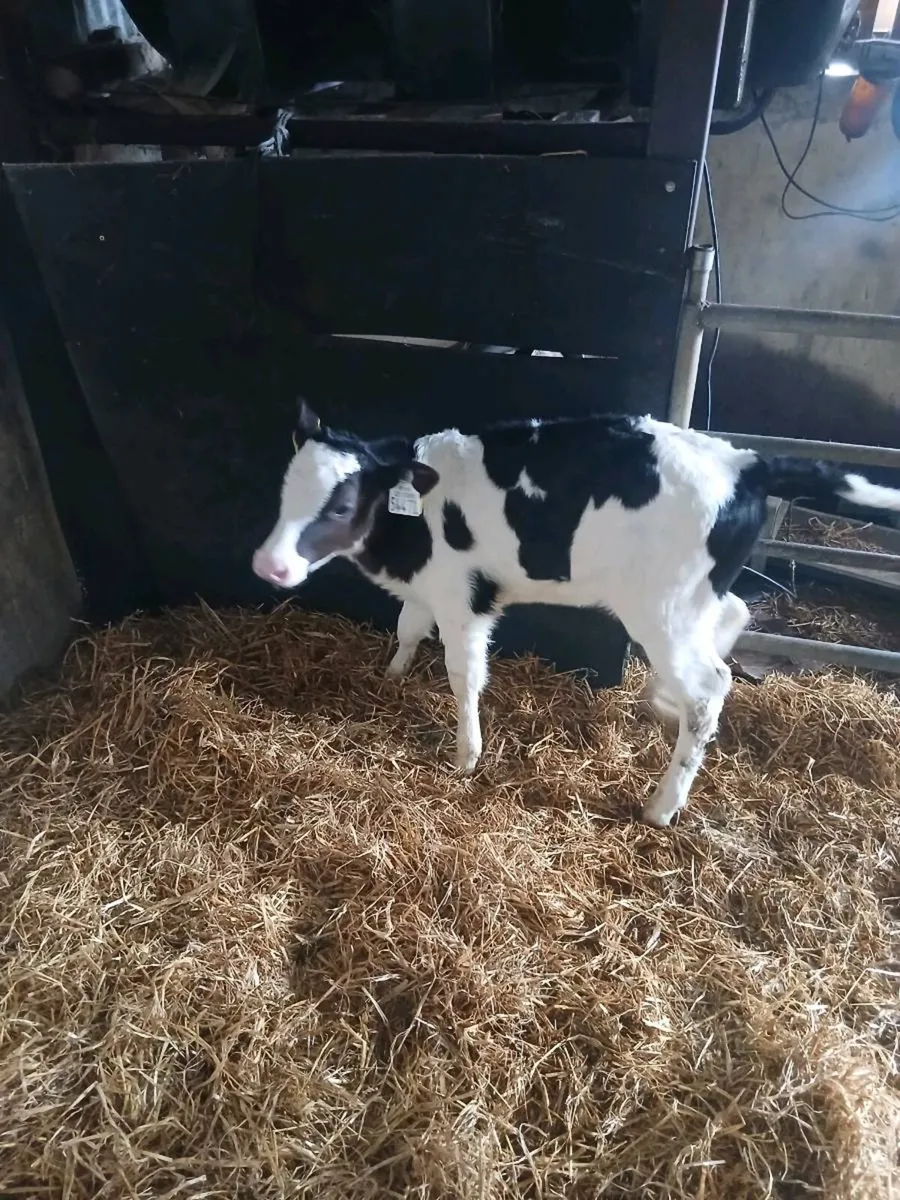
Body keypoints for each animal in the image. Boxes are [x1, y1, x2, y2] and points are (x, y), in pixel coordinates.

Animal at [252, 401, 900, 828]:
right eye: (282, 492)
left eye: (341, 505)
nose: (269, 564)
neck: (411, 526)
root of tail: (744, 460)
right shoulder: (427, 584)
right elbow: (408, 627)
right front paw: (390, 678)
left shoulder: (465, 598)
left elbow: (464, 676)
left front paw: (466, 757)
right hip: (693, 597)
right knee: (733, 615)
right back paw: (660, 702)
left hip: (660, 607)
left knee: (709, 687)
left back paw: (662, 805)